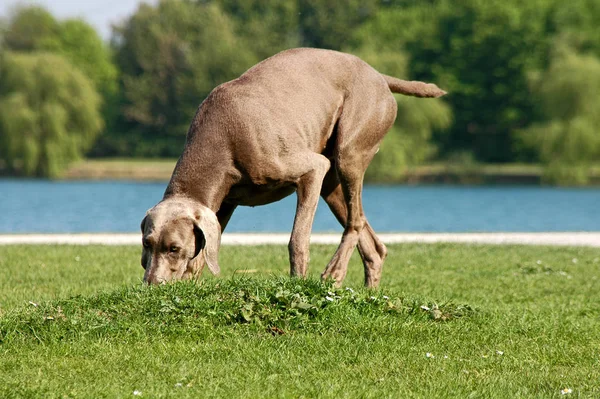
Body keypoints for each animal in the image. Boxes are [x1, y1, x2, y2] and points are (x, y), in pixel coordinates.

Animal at [141, 48, 446, 288]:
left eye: (174, 248)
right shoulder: (223, 203)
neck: (220, 140)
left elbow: (297, 240)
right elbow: (204, 252)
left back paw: (334, 273)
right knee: (372, 245)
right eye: (147, 244)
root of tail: (379, 76)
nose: (151, 286)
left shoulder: (311, 169)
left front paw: (297, 282)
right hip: (332, 184)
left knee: (355, 221)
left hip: (349, 151)